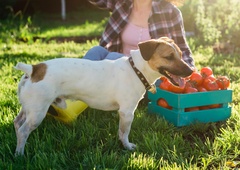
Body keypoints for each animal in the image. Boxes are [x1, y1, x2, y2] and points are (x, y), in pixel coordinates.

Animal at [13, 37, 193, 155]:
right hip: (38, 113)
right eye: (169, 57)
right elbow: (124, 132)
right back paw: (20, 154)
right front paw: (127, 147)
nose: (191, 71)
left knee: (17, 123)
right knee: (23, 131)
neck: (136, 70)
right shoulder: (127, 113)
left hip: (28, 109)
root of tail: (33, 69)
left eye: (180, 54)